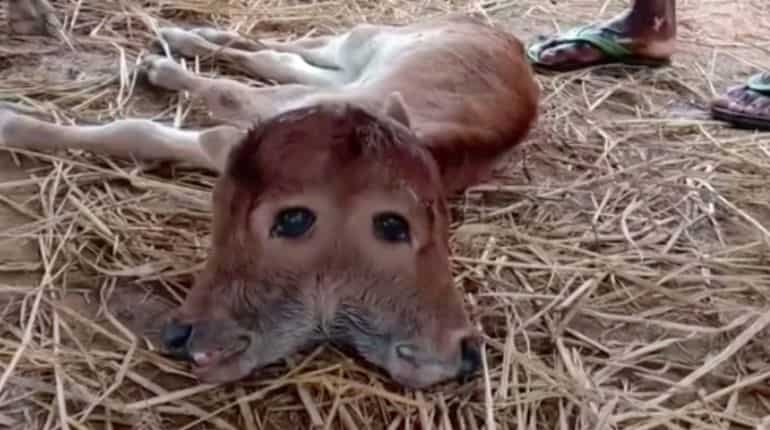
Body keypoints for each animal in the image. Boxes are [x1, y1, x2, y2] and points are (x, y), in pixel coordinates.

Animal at [0, 0, 539, 389]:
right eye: (393, 225)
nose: (465, 355)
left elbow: (152, 132)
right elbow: (180, 114)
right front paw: (16, 123)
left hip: (349, 63)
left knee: (280, 59)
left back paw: (178, 47)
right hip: (364, 42)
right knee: (282, 53)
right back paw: (176, 46)